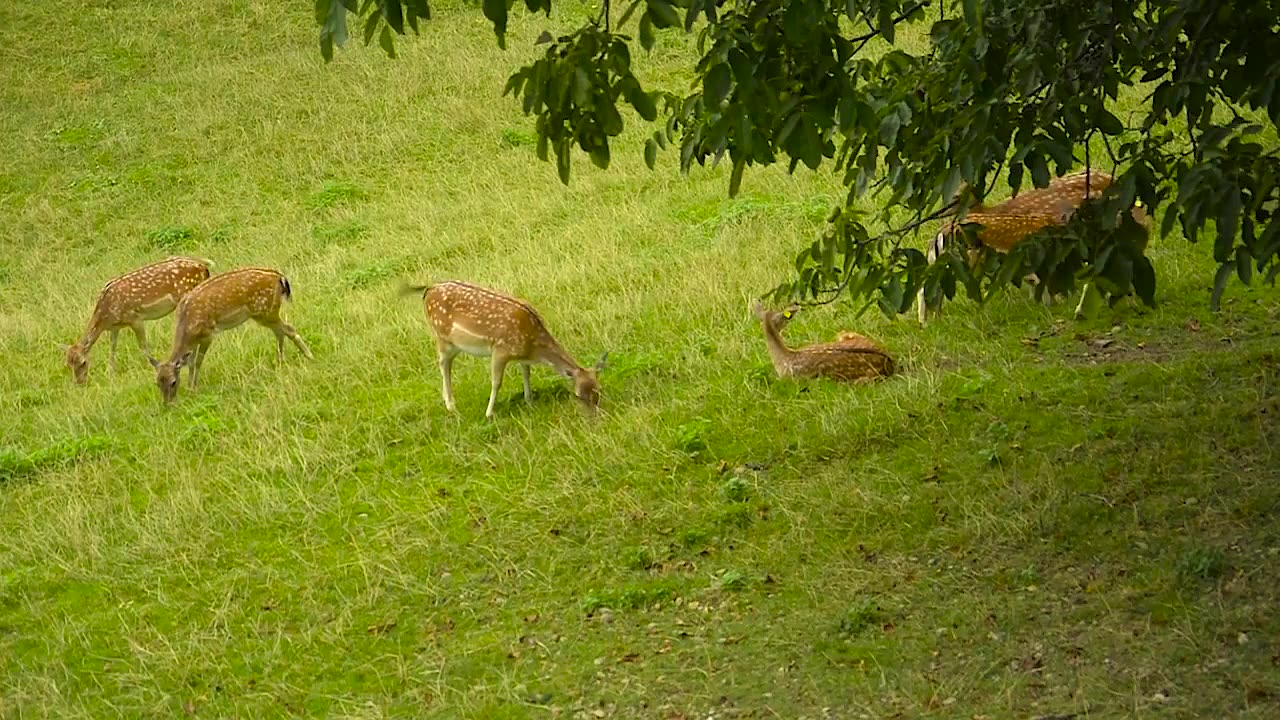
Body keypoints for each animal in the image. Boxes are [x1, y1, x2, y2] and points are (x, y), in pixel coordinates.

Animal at [62, 256, 211, 384]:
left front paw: (152, 367)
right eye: (68, 364)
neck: (106, 314)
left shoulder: (135, 318)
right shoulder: (115, 327)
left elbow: (143, 347)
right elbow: (113, 347)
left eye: (83, 362)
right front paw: (110, 373)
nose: (79, 382)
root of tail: (204, 268)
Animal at [151, 265, 312, 399]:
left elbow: (197, 362)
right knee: (280, 332)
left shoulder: (208, 333)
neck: (186, 326)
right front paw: (191, 388)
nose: (167, 404)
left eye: (173, 382)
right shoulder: (195, 340)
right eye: (158, 383)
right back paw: (279, 362)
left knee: (288, 329)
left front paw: (193, 389)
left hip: (265, 310)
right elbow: (190, 362)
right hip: (265, 313)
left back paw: (309, 356)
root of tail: (279, 277)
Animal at [399, 279, 604, 417]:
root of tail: (428, 289)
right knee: (443, 364)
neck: (534, 346)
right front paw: (489, 413)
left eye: (598, 391)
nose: (593, 415)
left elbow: (526, 373)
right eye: (579, 396)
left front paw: (529, 400)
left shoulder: (522, 356)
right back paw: (451, 405)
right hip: (441, 336)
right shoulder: (500, 351)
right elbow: (496, 382)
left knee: (445, 364)